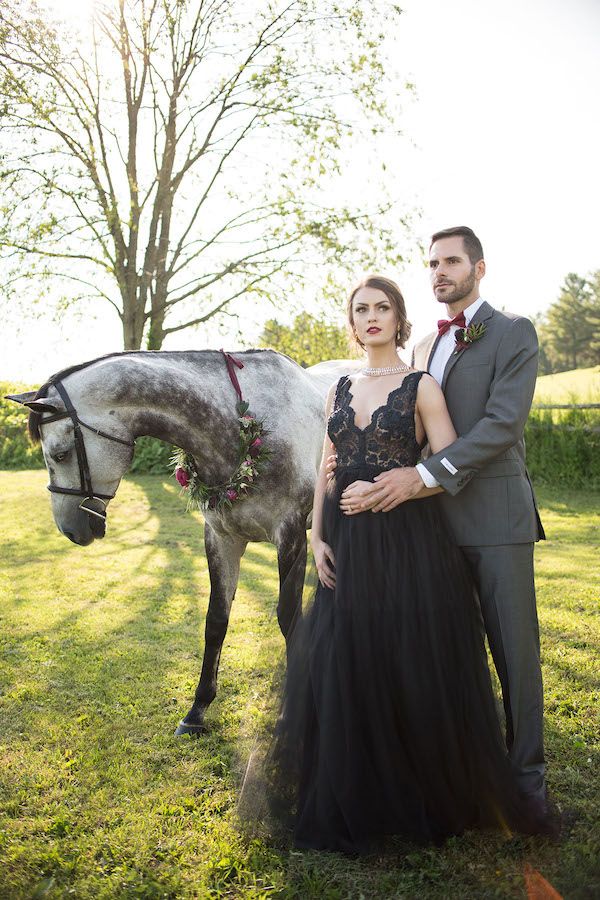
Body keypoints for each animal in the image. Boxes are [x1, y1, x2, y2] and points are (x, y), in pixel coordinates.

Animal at [7, 348, 340, 736]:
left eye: (61, 454)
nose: (70, 530)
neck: (245, 423)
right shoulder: (221, 539)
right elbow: (216, 621)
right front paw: (197, 711)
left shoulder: (290, 537)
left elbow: (288, 619)